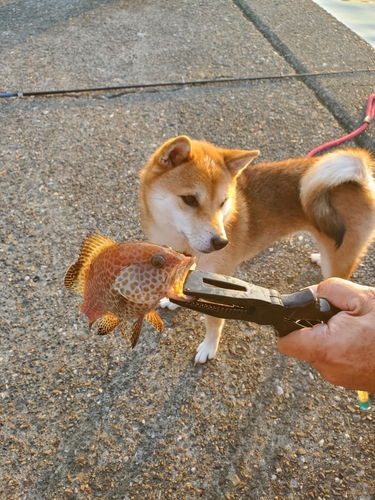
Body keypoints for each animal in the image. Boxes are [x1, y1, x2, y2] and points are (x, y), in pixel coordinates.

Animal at [140, 137, 375, 364]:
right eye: (189, 199)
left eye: (223, 203)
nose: (221, 242)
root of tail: (361, 177)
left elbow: (214, 322)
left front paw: (208, 348)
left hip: (338, 258)